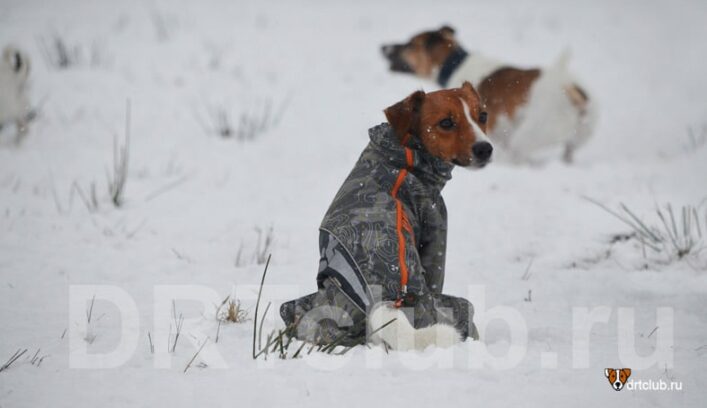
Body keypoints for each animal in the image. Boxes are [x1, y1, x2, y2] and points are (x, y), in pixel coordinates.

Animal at [280, 82, 490, 350]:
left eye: (482, 116)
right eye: (446, 123)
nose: (485, 148)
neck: (405, 154)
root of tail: (387, 302)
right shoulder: (435, 229)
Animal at [382, 24, 596, 163]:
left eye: (409, 44)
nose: (382, 47)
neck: (455, 63)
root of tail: (570, 89)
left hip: (527, 136)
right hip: (577, 137)